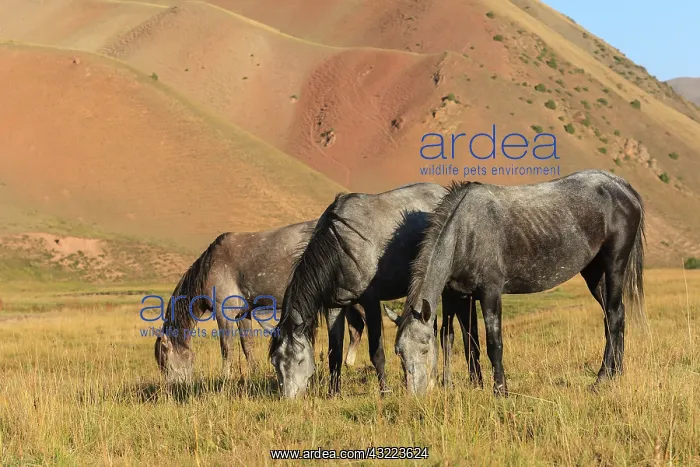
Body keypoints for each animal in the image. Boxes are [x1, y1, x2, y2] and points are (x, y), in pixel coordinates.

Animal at [153, 220, 373, 385]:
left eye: (165, 363)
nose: (172, 388)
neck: (210, 266)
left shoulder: (224, 313)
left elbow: (226, 347)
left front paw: (225, 377)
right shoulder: (243, 314)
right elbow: (247, 344)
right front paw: (254, 372)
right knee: (356, 329)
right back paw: (349, 363)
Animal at [268, 182, 449, 398]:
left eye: (300, 360)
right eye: (275, 363)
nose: (289, 399)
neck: (339, 247)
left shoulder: (370, 301)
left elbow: (376, 353)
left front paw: (384, 391)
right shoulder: (334, 306)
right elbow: (335, 352)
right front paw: (334, 393)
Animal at [393, 169, 647, 396]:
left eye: (425, 348)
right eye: (399, 352)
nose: (415, 397)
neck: (466, 231)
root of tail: (622, 186)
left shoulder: (490, 293)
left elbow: (493, 343)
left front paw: (500, 390)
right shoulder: (460, 295)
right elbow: (462, 341)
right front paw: (470, 386)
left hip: (614, 265)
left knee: (613, 316)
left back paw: (602, 379)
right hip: (594, 273)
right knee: (616, 316)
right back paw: (616, 373)